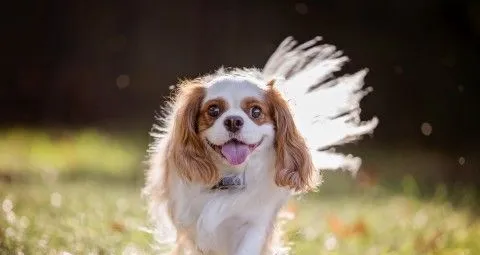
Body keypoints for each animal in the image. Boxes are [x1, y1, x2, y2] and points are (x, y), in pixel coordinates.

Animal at [144, 36, 376, 255]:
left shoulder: (255, 225)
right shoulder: (192, 230)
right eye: (213, 110)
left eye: (256, 111)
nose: (233, 121)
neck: (230, 177)